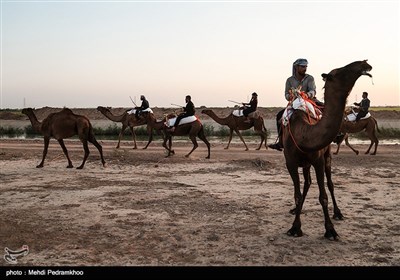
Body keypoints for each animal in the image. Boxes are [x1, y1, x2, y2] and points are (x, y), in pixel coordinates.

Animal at [282, 60, 374, 240]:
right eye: (340, 72)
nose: (365, 63)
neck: (304, 134)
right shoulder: (291, 163)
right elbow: (297, 195)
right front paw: (295, 227)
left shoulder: (318, 160)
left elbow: (323, 196)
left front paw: (330, 230)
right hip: (305, 163)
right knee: (307, 184)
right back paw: (297, 210)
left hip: (326, 156)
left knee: (330, 184)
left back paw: (338, 213)